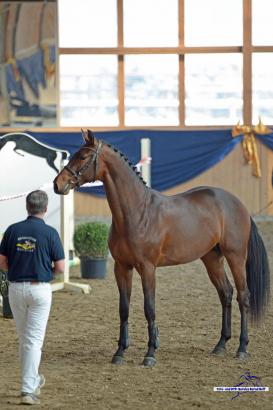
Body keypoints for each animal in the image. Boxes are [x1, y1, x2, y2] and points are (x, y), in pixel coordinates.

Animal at [52, 130, 268, 366]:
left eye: (83, 156)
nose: (57, 184)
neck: (137, 212)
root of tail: (237, 204)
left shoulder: (147, 268)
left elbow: (149, 308)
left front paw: (150, 353)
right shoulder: (122, 267)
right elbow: (124, 309)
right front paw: (120, 352)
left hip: (235, 256)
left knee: (243, 296)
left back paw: (242, 348)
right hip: (212, 258)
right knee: (226, 293)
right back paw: (220, 345)